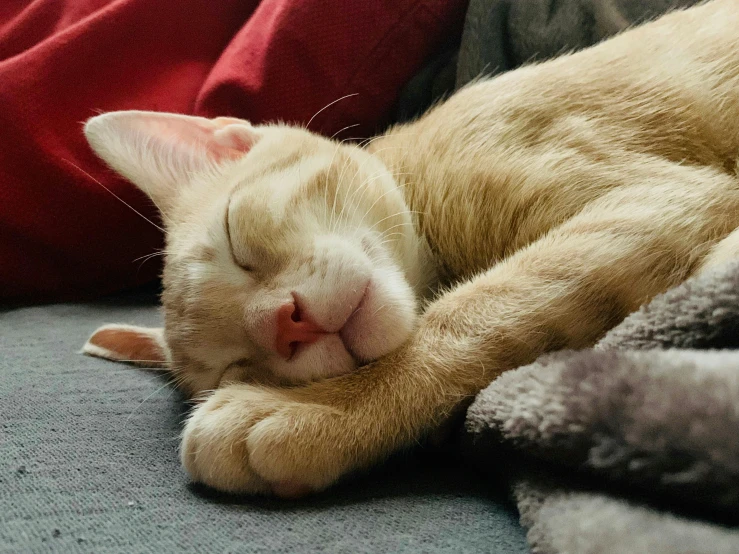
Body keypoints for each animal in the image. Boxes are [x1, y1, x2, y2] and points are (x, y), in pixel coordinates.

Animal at [81, 0, 739, 494]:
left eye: (237, 237)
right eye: (238, 365)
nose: (287, 324)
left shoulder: (656, 199)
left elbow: (471, 315)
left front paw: (314, 412)